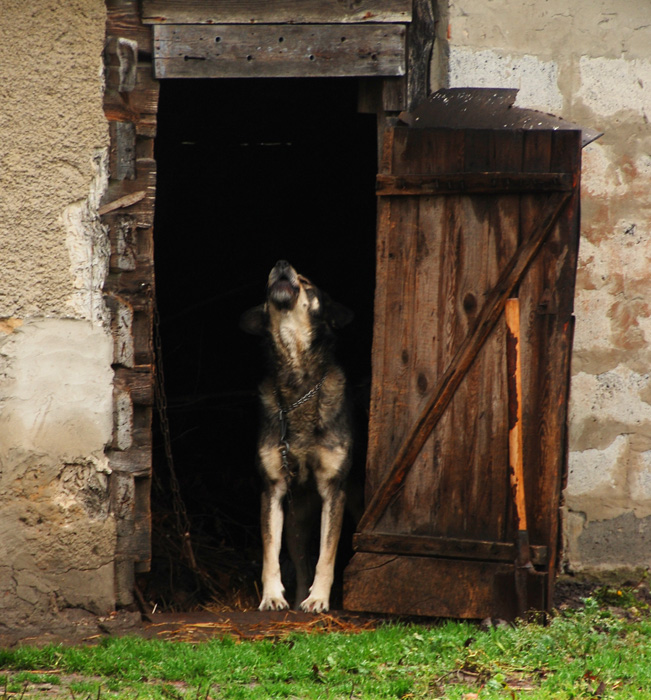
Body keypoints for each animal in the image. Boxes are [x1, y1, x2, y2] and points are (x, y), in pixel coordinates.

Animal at [239, 260, 354, 608]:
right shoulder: (272, 489)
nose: (280, 263)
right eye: (267, 281)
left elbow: (327, 556)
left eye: (306, 281)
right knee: (301, 564)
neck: (298, 381)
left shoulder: (334, 490)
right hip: (295, 524)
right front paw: (272, 596)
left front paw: (319, 600)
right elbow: (270, 553)